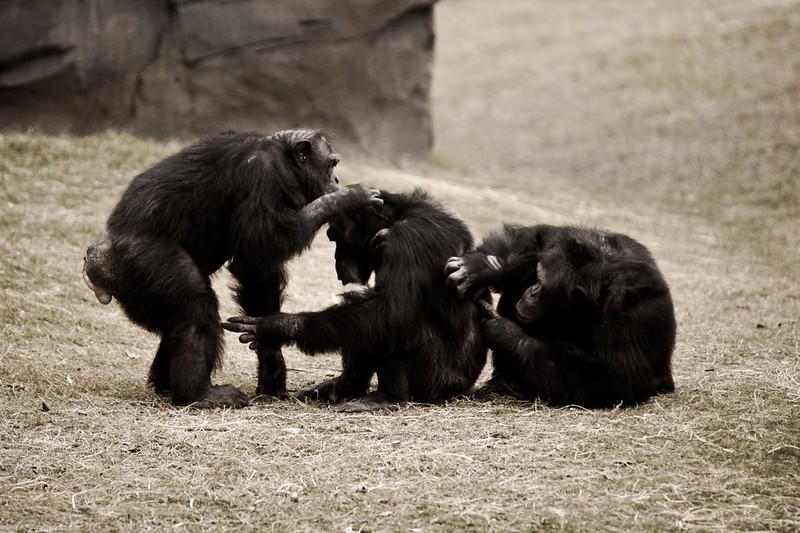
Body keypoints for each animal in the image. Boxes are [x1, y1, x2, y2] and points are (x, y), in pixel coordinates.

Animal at [82, 129, 382, 408]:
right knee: (195, 306)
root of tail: (96, 265)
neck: (284, 158)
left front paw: (270, 357)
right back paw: (198, 395)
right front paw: (351, 197)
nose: (337, 180)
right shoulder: (264, 175)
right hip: (144, 260)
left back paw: (166, 385)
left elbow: (258, 268)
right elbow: (266, 240)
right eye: (332, 164)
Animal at [222, 188, 490, 412]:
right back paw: (344, 386)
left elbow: (390, 312)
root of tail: (462, 389)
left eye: (335, 237)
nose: (336, 258)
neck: (397, 219)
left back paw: (387, 397)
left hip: (436, 381)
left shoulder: (410, 239)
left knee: (392, 323)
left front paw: (278, 326)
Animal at [444, 224, 676, 408]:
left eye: (543, 285)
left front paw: (506, 333)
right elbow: (539, 239)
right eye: (538, 276)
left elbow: (619, 376)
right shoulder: (581, 242)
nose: (532, 290)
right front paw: (478, 267)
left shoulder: (630, 315)